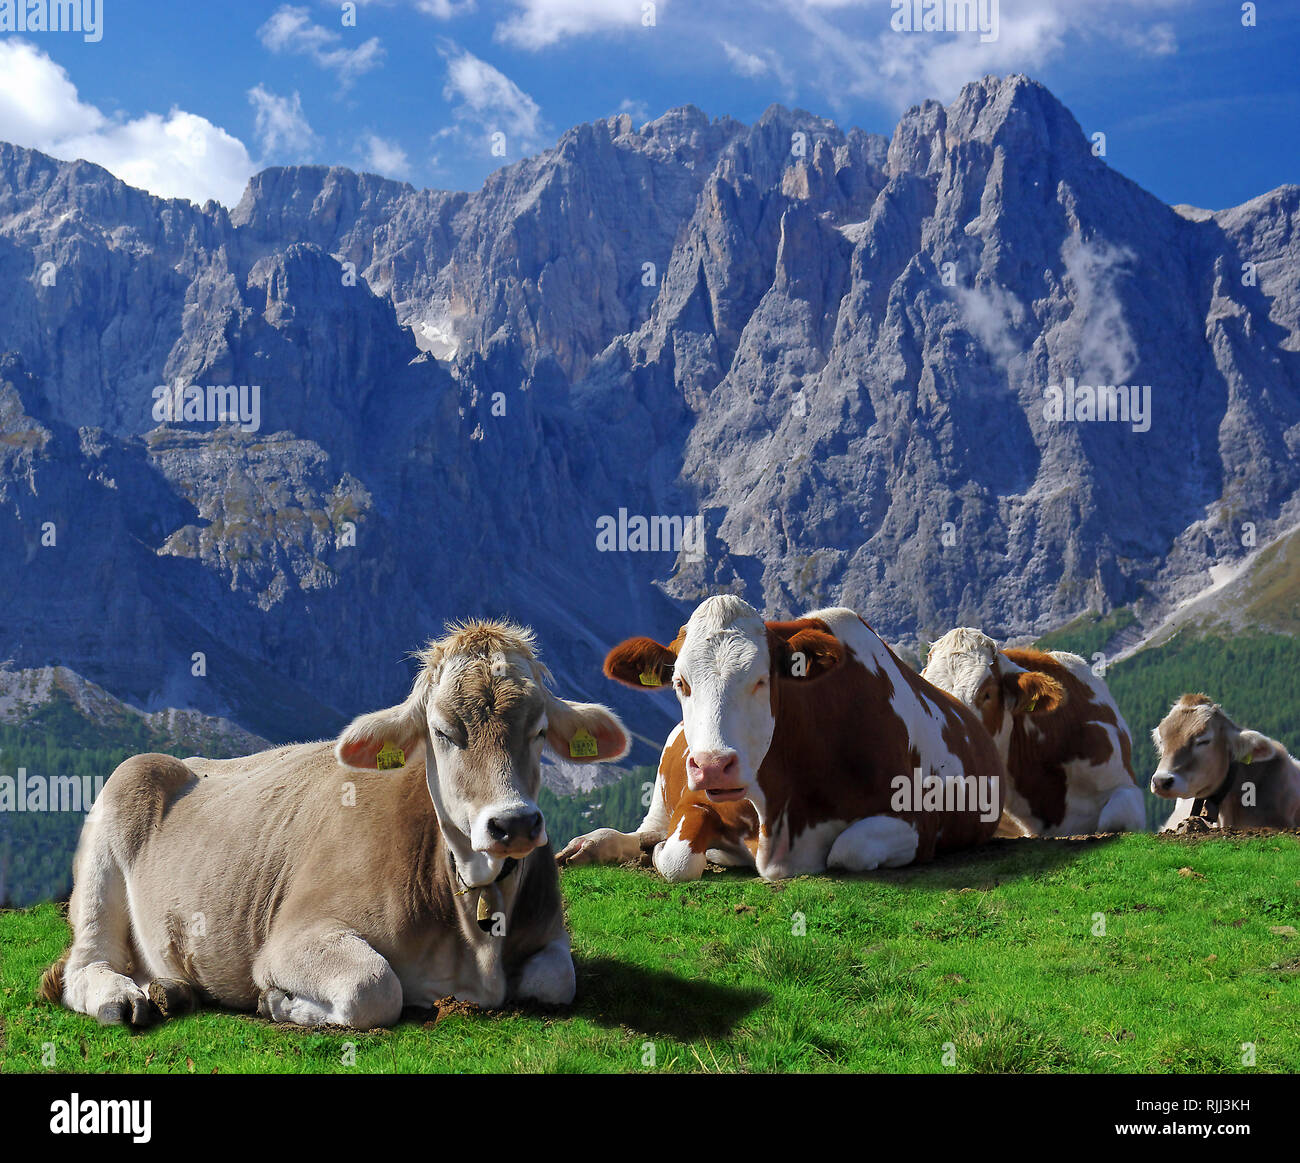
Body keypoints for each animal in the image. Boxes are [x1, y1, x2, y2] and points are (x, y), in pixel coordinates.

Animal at [40, 623, 629, 1034]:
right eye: (443, 732)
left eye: (539, 730)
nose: (514, 823)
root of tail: (183, 760)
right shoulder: (292, 937)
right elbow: (375, 987)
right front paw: (278, 1002)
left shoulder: (549, 935)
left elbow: (556, 980)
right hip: (115, 810)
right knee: (87, 963)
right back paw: (124, 998)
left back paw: (171, 990)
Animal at [556, 600, 1003, 883]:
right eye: (679, 682)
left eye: (760, 679)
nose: (713, 766)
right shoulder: (695, 799)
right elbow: (678, 857)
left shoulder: (918, 822)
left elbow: (848, 849)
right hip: (664, 790)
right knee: (644, 832)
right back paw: (589, 844)